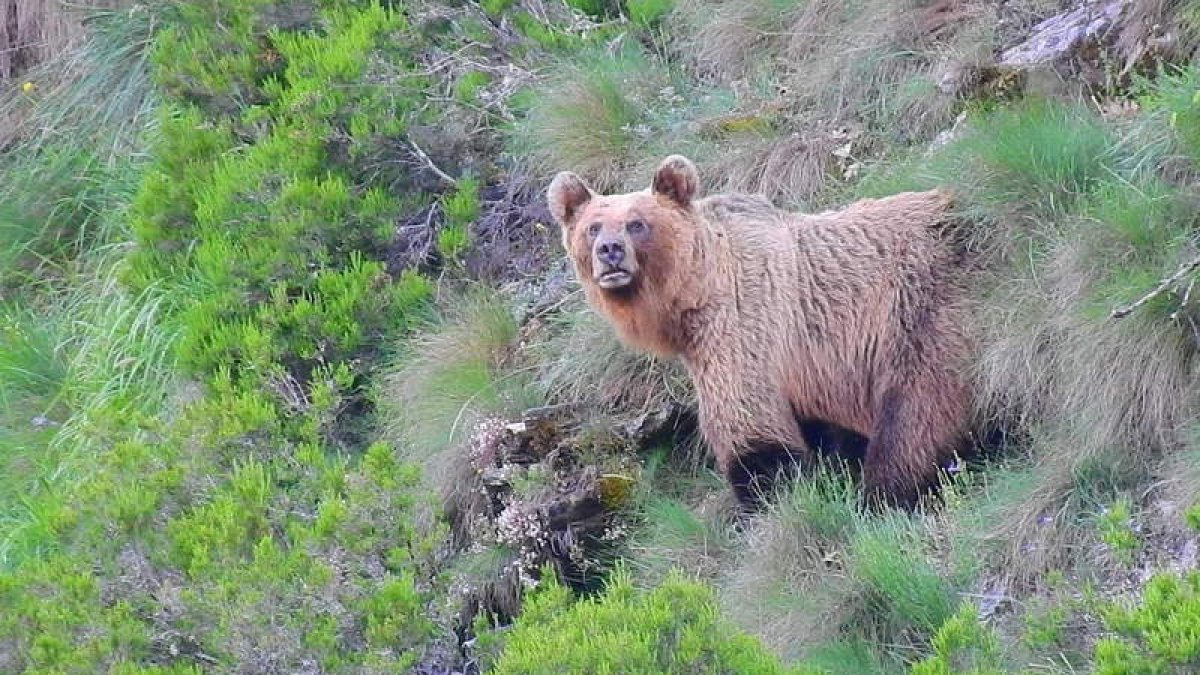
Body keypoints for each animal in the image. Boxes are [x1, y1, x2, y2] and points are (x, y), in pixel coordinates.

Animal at [547, 155, 972, 508]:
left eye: (637, 223)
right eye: (592, 227)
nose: (610, 250)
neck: (694, 295)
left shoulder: (746, 326)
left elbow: (751, 427)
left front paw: (769, 495)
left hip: (924, 304)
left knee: (915, 410)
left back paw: (886, 493)